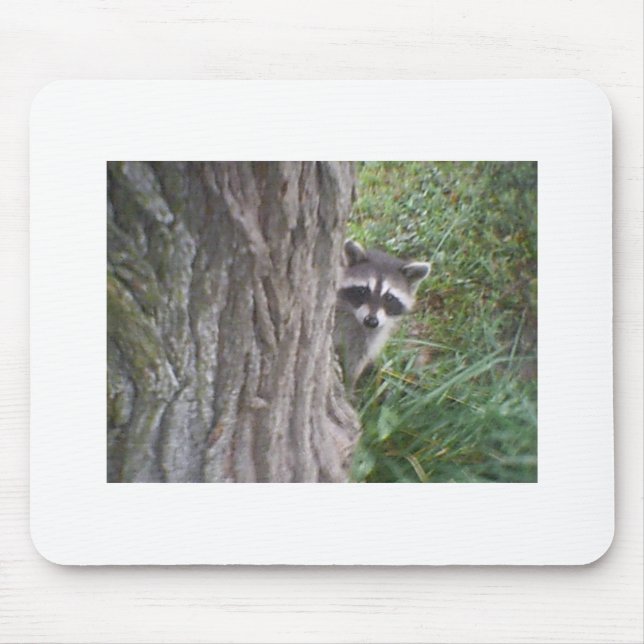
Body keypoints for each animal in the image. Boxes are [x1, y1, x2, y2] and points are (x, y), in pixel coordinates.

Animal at [334, 239, 431, 388]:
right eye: (362, 290)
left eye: (389, 297)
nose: (371, 321)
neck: (355, 318)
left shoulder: (371, 335)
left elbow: (357, 359)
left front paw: (349, 384)